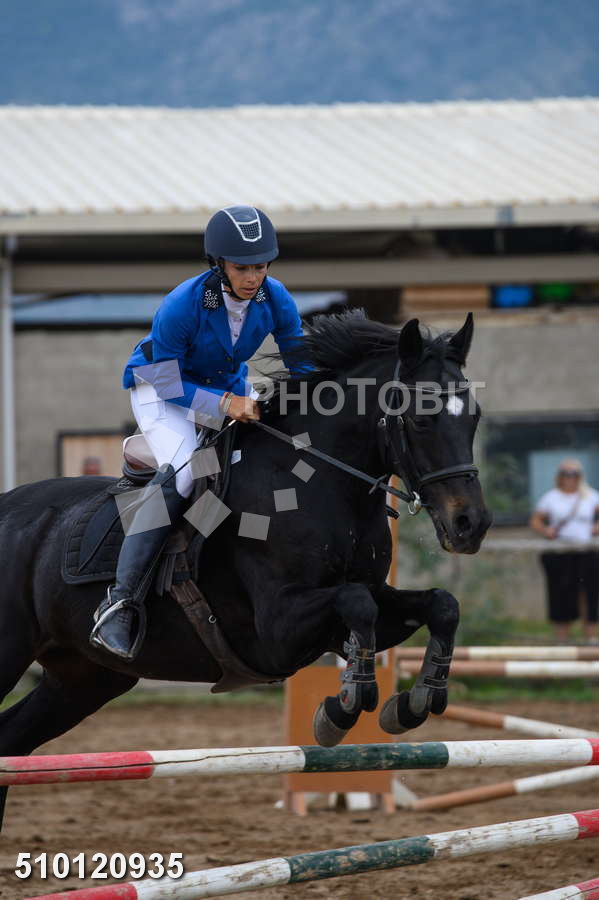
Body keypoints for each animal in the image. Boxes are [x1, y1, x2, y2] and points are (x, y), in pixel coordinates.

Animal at [0, 310, 491, 827]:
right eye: (422, 418)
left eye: (474, 417)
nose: (471, 525)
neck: (316, 484)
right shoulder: (277, 631)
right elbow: (357, 605)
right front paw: (341, 710)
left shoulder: (358, 608)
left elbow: (440, 605)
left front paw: (416, 701)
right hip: (16, 654)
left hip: (86, 677)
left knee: (12, 742)